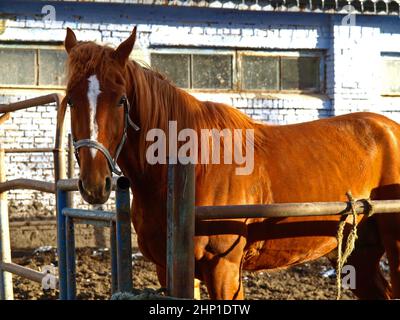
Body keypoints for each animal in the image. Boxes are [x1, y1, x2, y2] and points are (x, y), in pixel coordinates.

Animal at [63, 28, 400, 300]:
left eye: (121, 100)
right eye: (69, 99)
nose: (94, 184)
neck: (193, 167)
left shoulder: (223, 269)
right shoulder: (166, 269)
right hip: (359, 257)